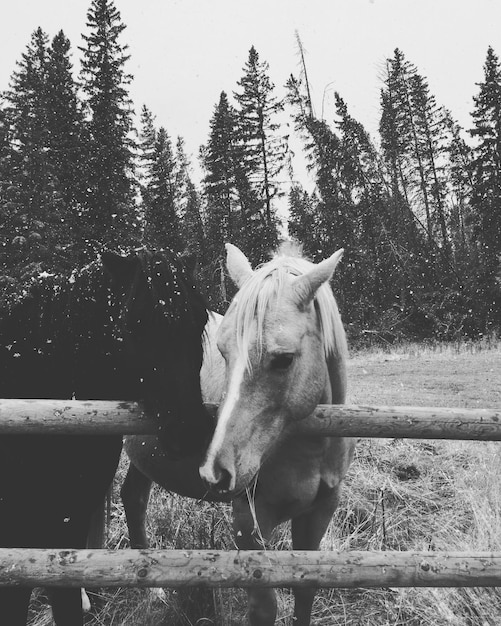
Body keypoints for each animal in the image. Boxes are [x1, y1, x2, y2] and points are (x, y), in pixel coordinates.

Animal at [123, 241, 354, 620]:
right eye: (222, 350)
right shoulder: (250, 521)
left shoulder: (319, 512)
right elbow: (264, 607)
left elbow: (305, 591)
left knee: (133, 498)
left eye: (283, 359)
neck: (308, 452)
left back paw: (151, 591)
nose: (215, 471)